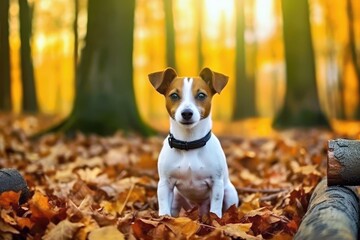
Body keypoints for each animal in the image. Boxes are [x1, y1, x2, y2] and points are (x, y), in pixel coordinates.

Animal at [148, 66, 238, 218]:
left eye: (201, 95)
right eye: (174, 95)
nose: (187, 113)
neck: (189, 143)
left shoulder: (217, 183)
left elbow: (215, 208)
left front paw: (216, 220)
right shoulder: (165, 184)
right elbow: (164, 207)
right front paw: (163, 219)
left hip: (230, 193)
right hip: (177, 196)